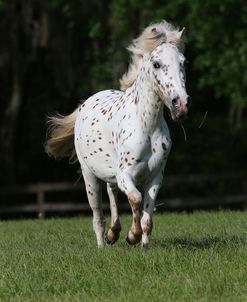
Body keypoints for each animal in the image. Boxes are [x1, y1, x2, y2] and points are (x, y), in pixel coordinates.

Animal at [45, 20, 189, 249]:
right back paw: (102, 244)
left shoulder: (155, 177)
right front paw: (132, 236)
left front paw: (143, 247)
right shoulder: (125, 175)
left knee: (112, 194)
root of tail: (86, 103)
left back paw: (114, 233)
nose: (181, 104)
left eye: (183, 62)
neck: (147, 127)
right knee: (98, 215)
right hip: (90, 178)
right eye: (157, 64)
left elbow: (147, 216)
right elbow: (136, 199)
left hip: (110, 175)